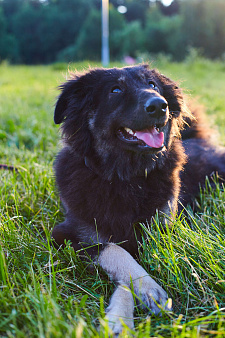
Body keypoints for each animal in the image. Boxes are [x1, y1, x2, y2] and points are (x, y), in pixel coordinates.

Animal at [51, 64, 224, 334]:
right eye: (115, 90)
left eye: (152, 85)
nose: (160, 105)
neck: (126, 178)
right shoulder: (68, 234)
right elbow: (116, 251)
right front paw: (139, 296)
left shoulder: (160, 231)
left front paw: (127, 309)